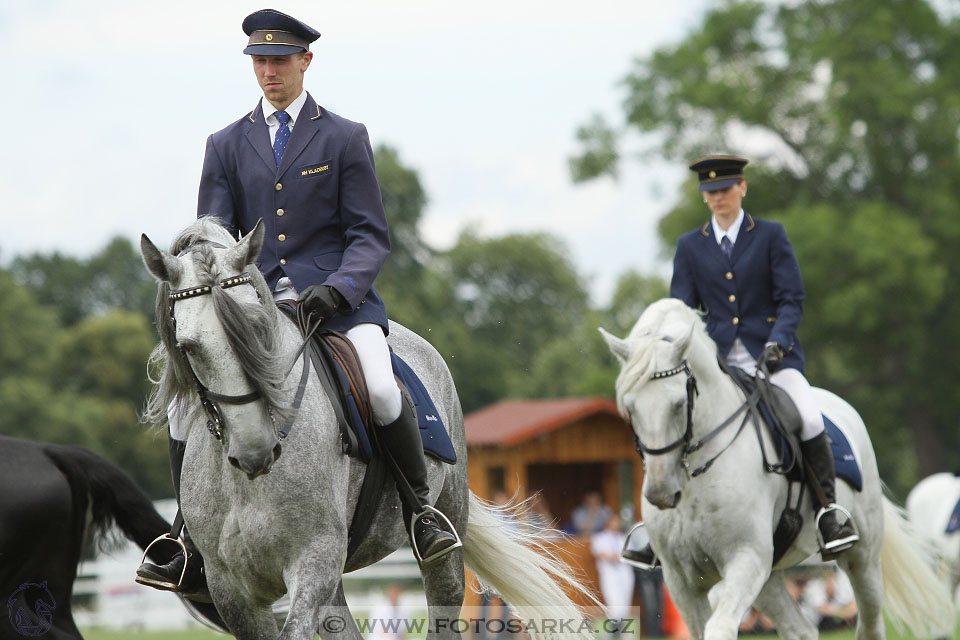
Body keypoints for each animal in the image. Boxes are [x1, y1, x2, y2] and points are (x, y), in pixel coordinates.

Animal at [139, 218, 596, 636]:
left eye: (258, 330)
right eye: (188, 347)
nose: (255, 449)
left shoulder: (314, 562)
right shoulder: (231, 589)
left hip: (446, 527)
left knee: (444, 596)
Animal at [600, 300, 952, 640]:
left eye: (678, 404)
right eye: (629, 408)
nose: (661, 492)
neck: (697, 475)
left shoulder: (746, 557)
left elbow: (720, 628)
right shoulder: (682, 580)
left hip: (861, 557)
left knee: (869, 624)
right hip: (769, 576)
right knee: (801, 629)